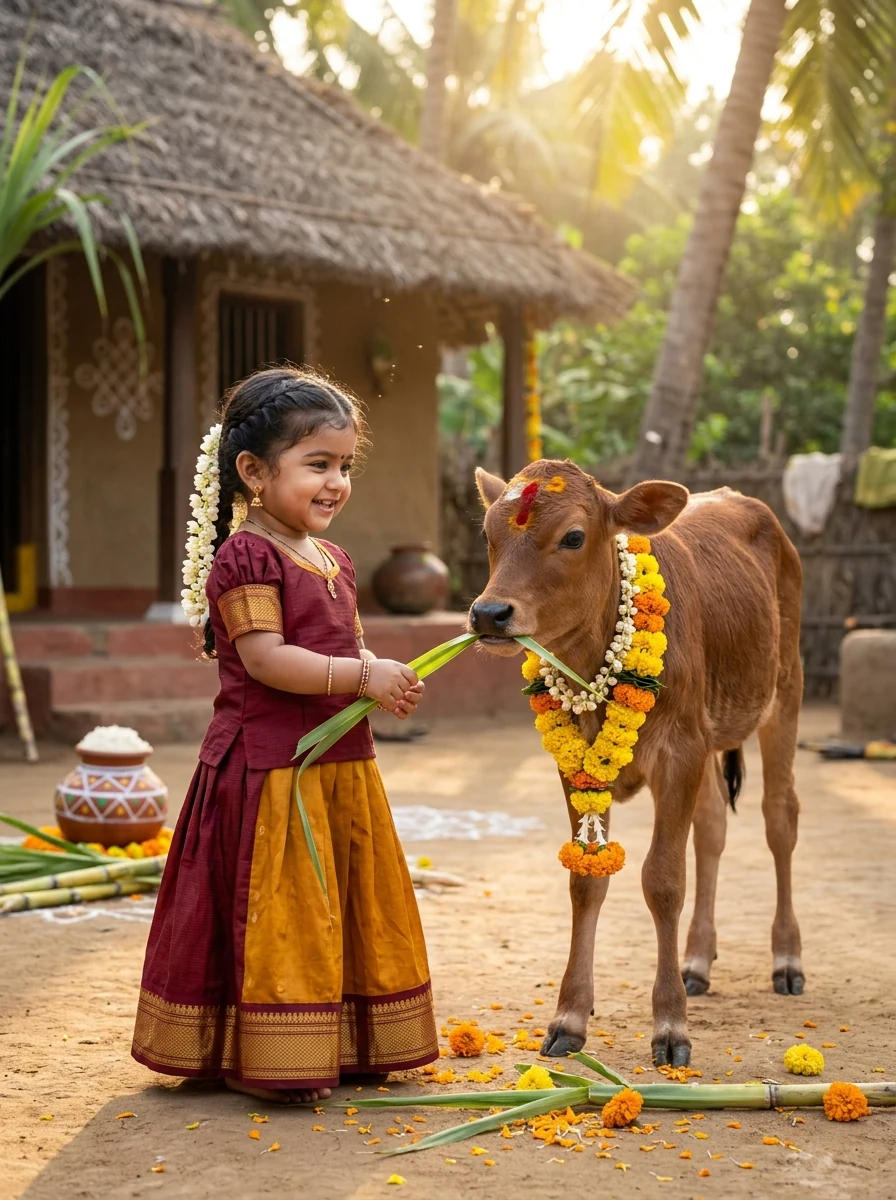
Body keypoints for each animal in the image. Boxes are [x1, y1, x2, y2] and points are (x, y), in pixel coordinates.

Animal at [469, 460, 804, 1067]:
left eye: (574, 537)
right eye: (488, 533)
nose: (489, 613)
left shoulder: (679, 754)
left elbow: (664, 881)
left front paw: (671, 1026)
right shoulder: (577, 767)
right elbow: (586, 882)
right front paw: (569, 1018)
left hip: (783, 691)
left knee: (779, 818)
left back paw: (787, 959)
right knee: (713, 827)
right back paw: (697, 961)